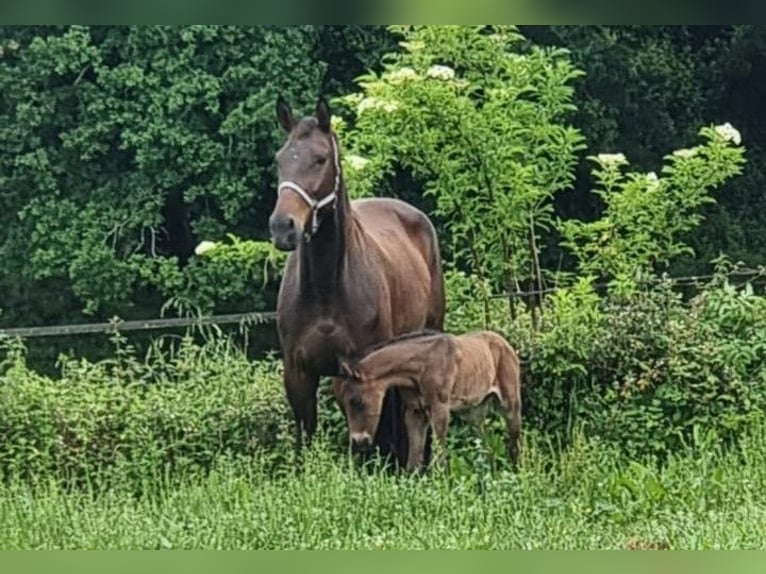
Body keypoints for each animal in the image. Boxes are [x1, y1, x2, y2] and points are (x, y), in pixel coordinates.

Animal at [268, 98, 444, 468]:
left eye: (320, 158)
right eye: (280, 159)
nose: (282, 227)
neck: (325, 292)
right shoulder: (298, 374)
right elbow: (307, 439)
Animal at [334, 330, 520, 474]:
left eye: (357, 402)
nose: (358, 442)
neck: (421, 367)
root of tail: (506, 345)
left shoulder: (440, 409)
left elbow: (439, 451)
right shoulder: (414, 412)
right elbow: (414, 457)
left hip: (510, 404)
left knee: (515, 442)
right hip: (474, 412)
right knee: (486, 448)